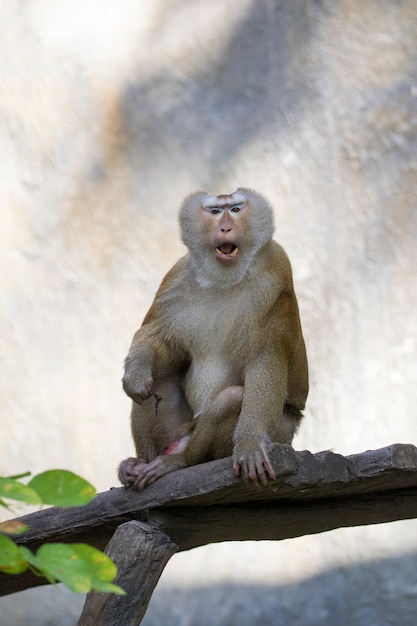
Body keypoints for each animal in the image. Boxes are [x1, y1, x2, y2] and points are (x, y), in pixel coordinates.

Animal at [118, 188, 308, 490]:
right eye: (216, 211)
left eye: (236, 209)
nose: (226, 227)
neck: (224, 278)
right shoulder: (176, 277)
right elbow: (159, 338)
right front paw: (136, 368)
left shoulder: (275, 283)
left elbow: (265, 362)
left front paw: (249, 444)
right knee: (157, 379)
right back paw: (139, 464)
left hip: (281, 431)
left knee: (232, 399)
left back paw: (181, 461)